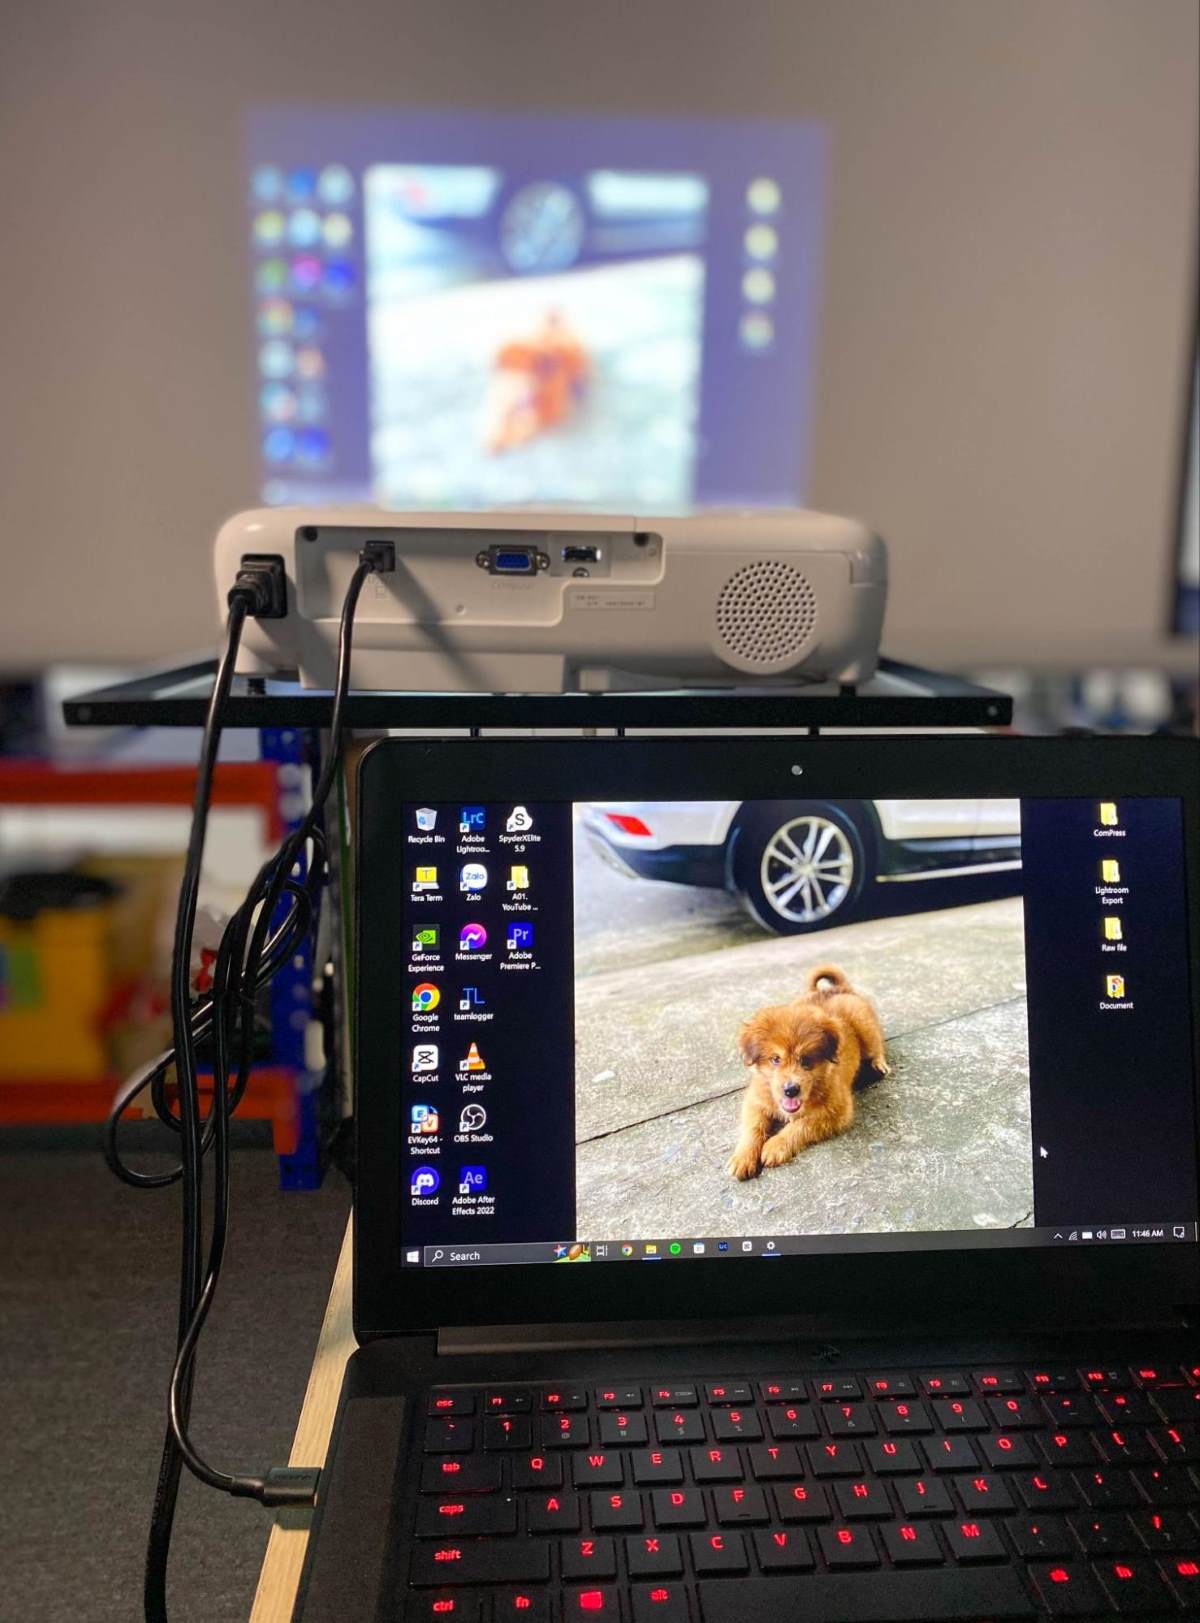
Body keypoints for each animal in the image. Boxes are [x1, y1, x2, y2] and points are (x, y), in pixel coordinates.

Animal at [727, 960, 889, 1181]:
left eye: (806, 1060)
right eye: (775, 1059)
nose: (791, 1090)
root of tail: (839, 989)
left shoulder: (837, 1110)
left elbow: (802, 1124)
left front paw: (776, 1145)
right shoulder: (755, 1100)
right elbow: (753, 1126)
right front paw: (743, 1156)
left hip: (865, 1026)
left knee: (877, 1046)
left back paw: (879, 1065)